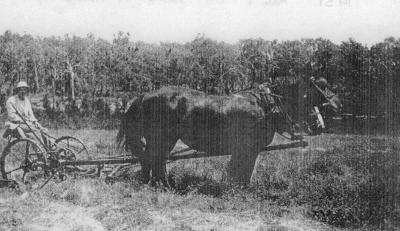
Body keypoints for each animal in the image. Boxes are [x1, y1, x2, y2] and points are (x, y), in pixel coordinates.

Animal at [115, 80, 340, 185]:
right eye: (320, 88)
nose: (338, 104)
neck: (264, 105)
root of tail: (144, 95)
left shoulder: (249, 149)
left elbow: (243, 169)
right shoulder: (247, 147)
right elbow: (241, 169)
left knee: (153, 159)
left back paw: (155, 182)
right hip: (163, 137)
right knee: (154, 158)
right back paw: (161, 184)